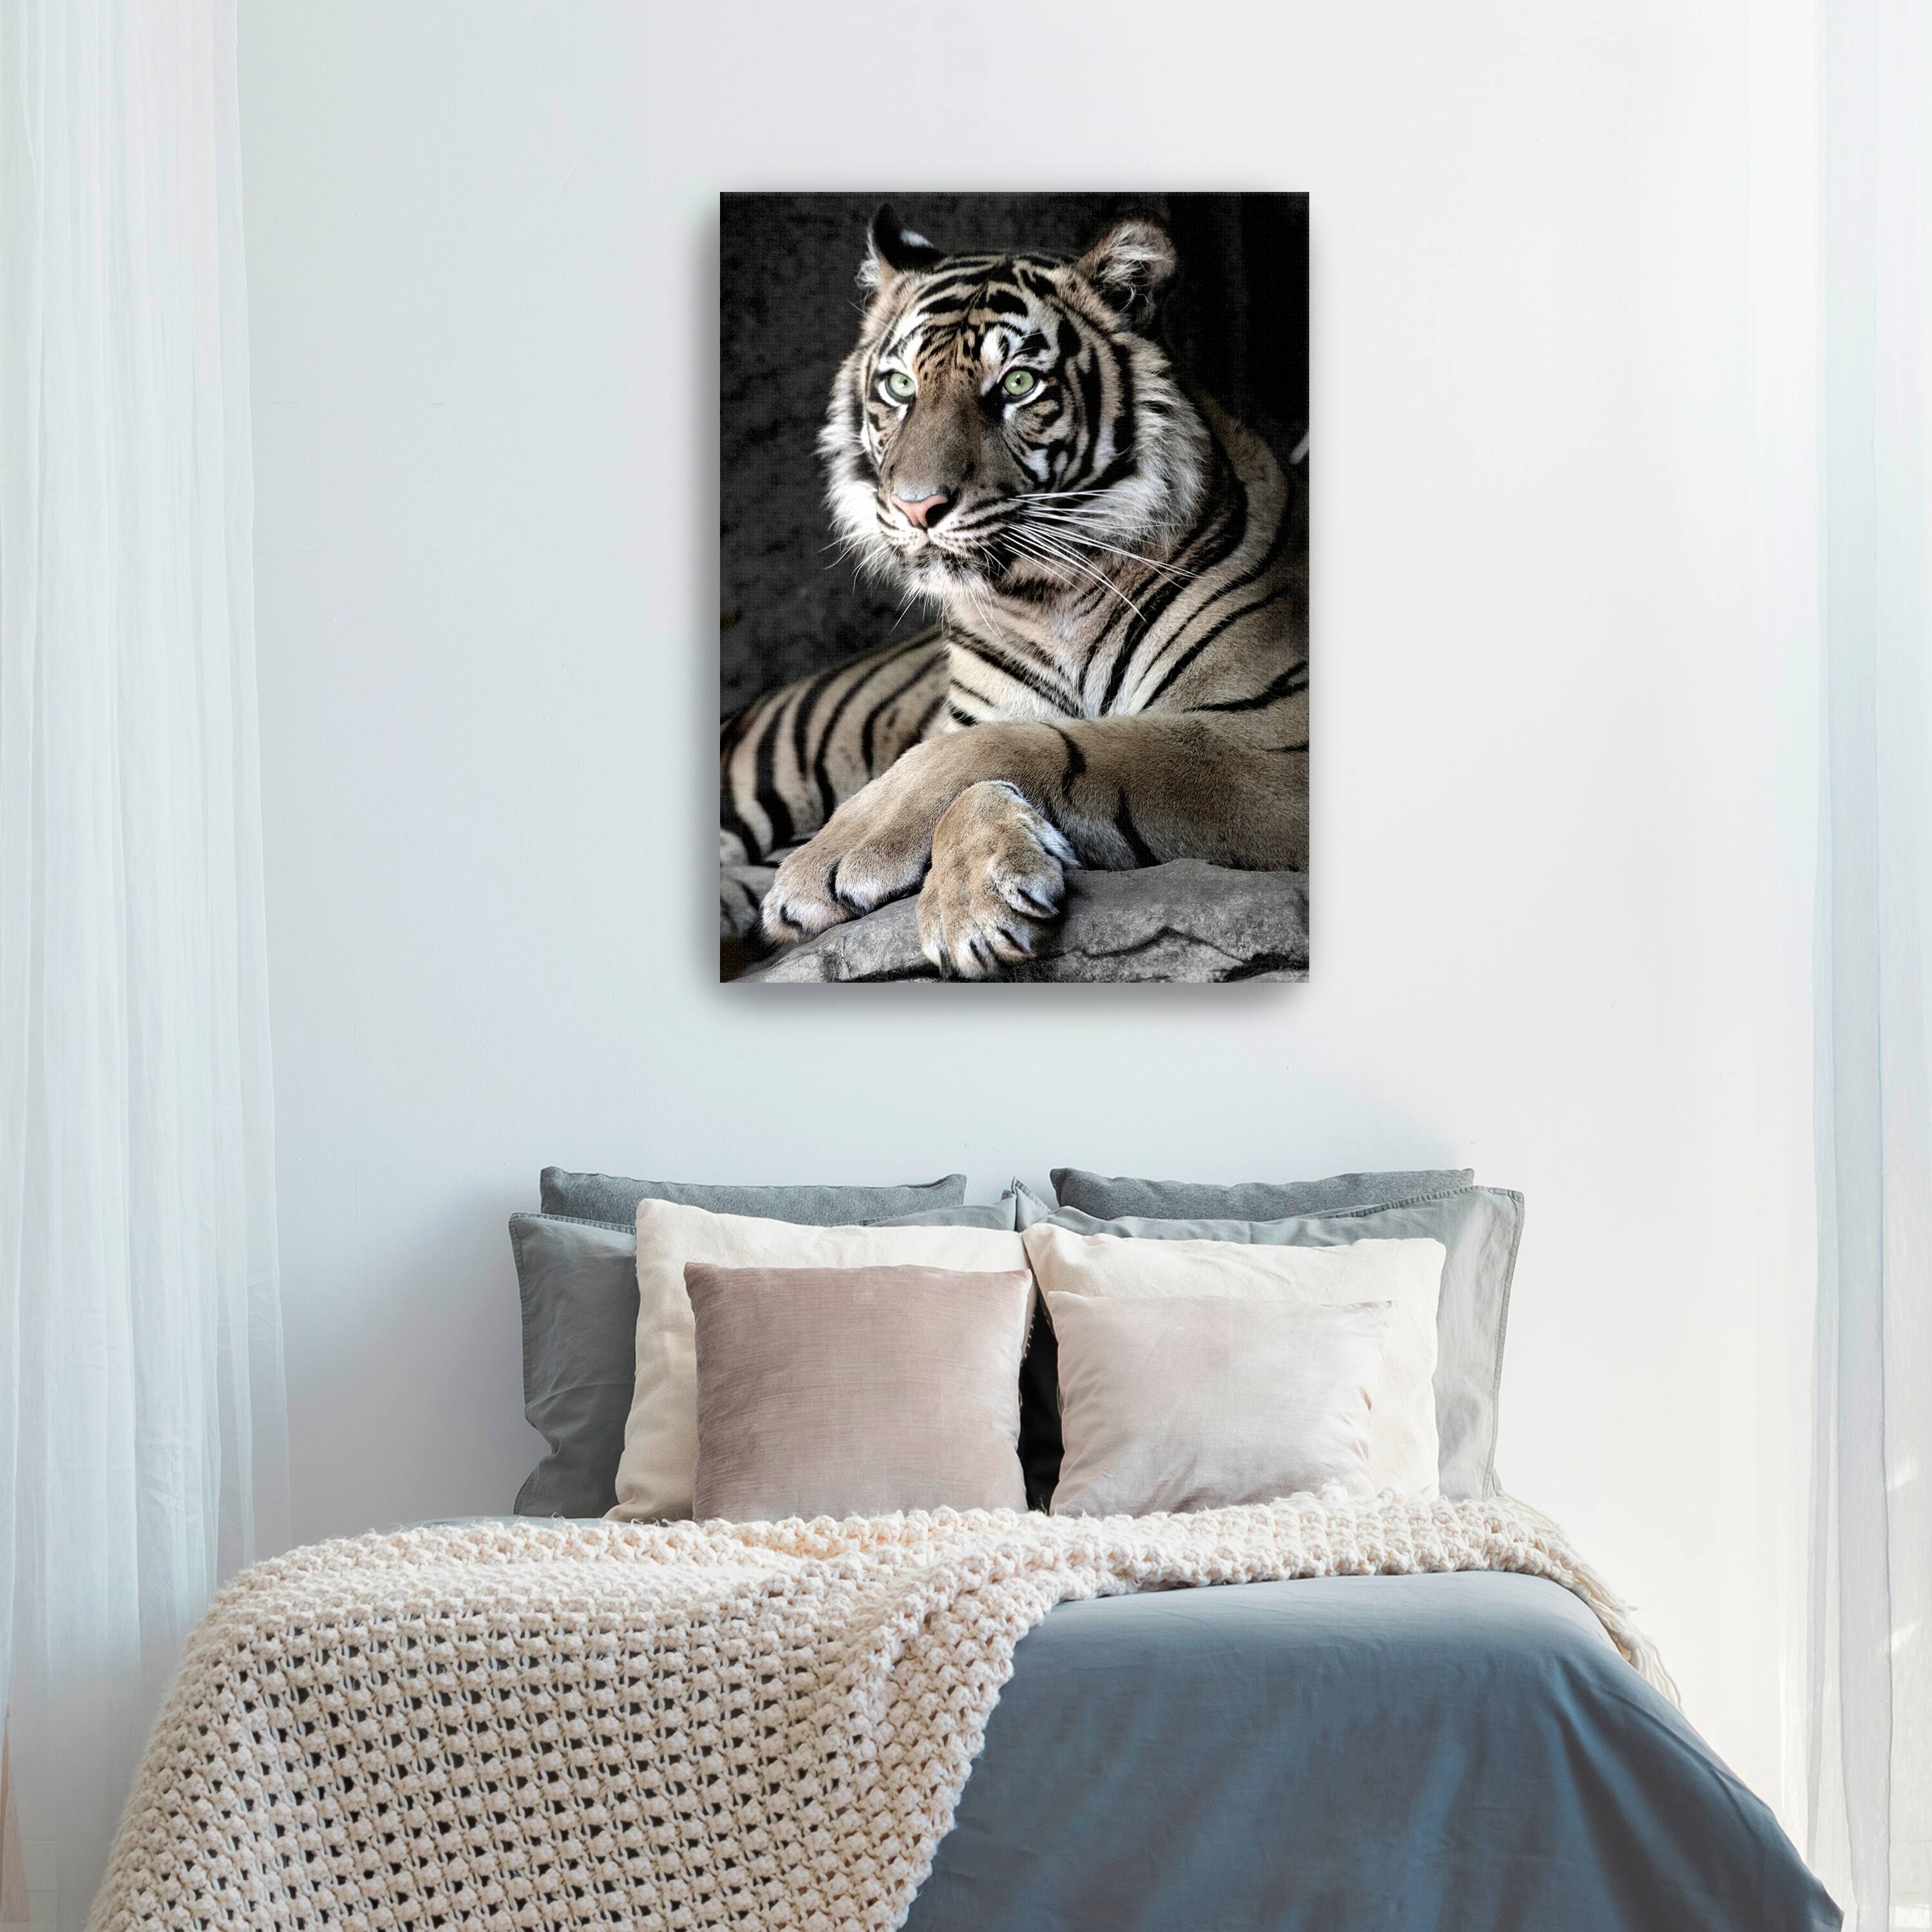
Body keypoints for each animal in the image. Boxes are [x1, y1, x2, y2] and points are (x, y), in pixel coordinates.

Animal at [720, 203, 1307, 979]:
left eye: (1021, 384)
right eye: (900, 388)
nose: (916, 508)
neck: (1047, 602)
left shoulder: (1281, 743)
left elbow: (1035, 748)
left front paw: (863, 862)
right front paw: (968, 898)